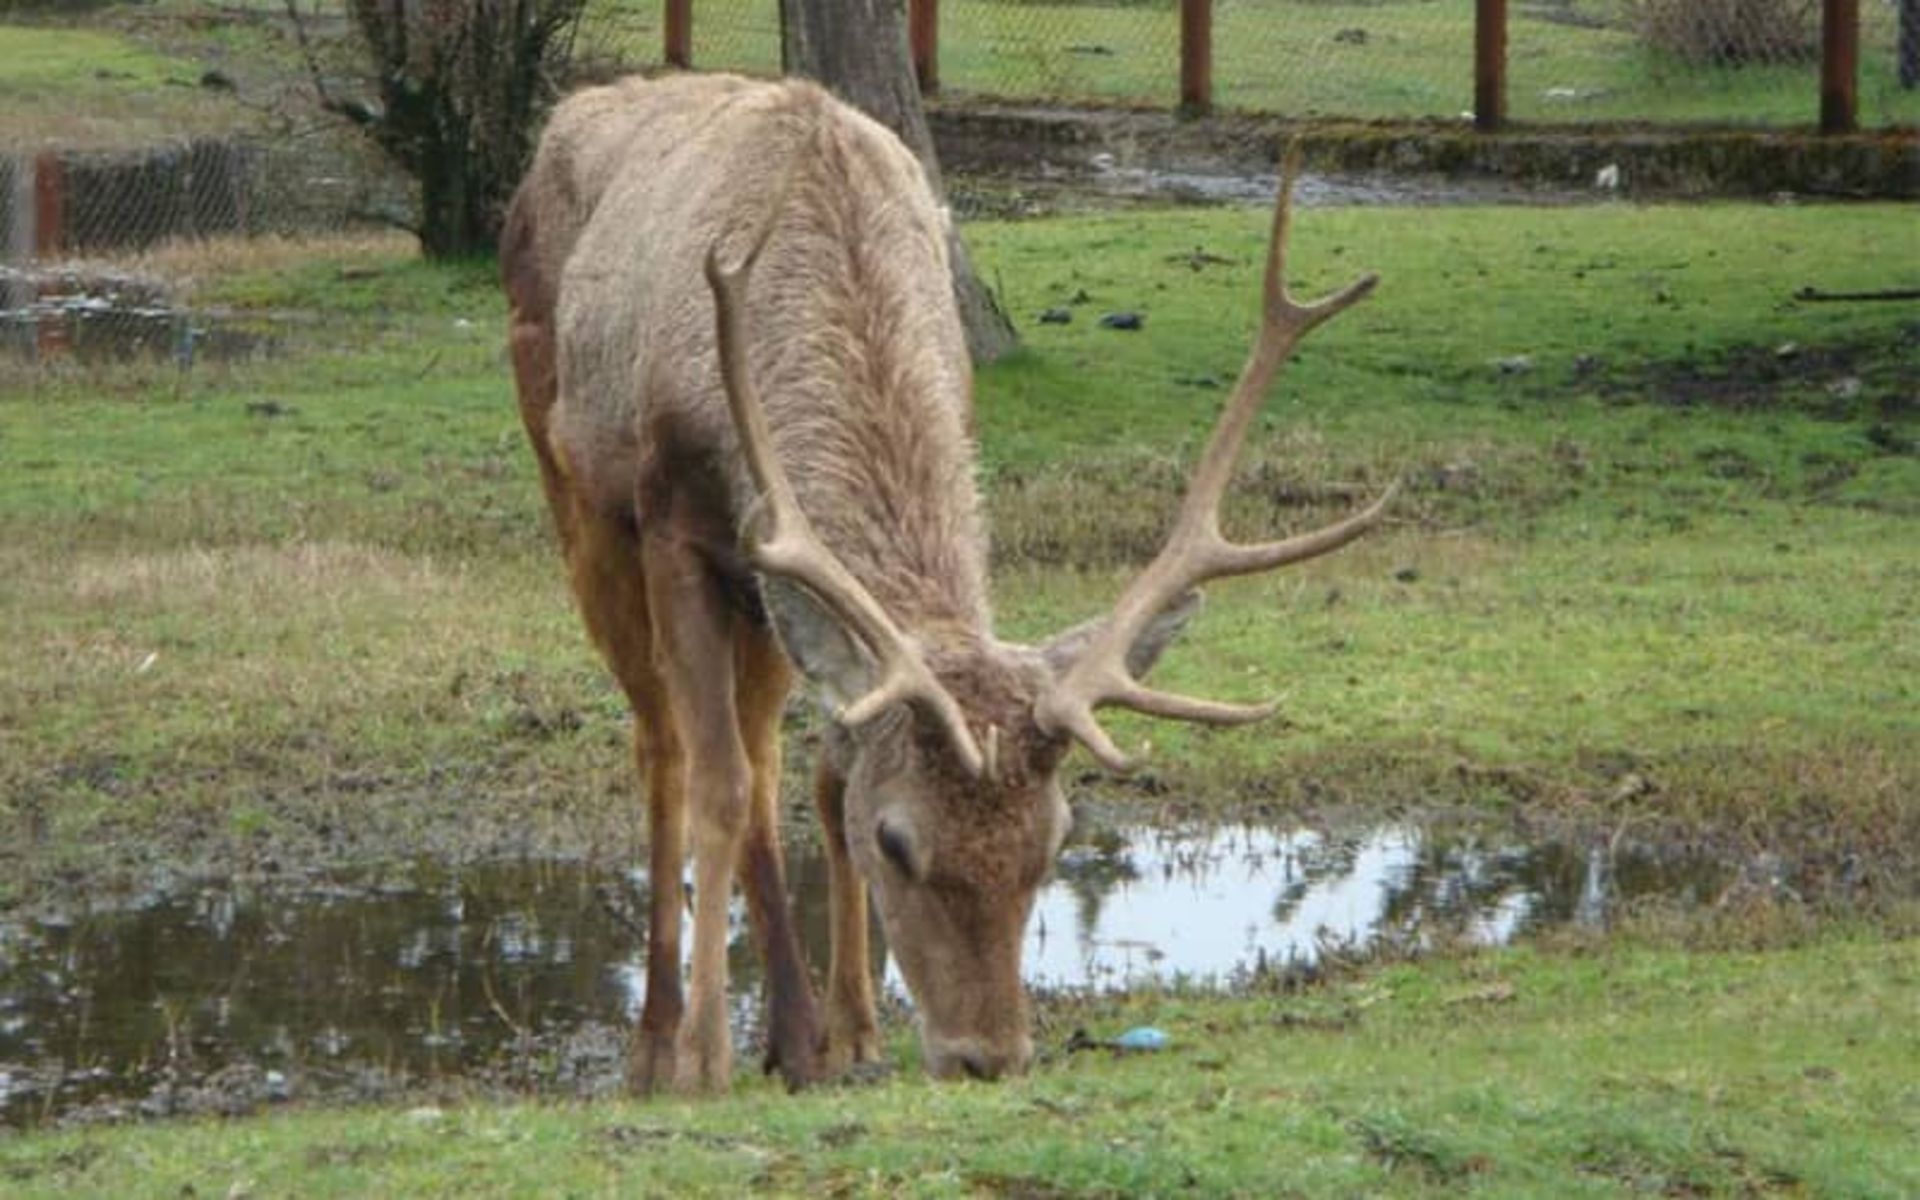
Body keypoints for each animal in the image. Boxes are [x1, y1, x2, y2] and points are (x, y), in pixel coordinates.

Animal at [500, 72, 1392, 1094]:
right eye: (897, 841)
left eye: (1054, 839)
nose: (987, 1054)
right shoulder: (672, 517)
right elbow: (716, 781)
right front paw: (702, 1062)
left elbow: (824, 771)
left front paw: (850, 1036)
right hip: (573, 483)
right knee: (665, 746)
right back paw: (657, 1042)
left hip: (759, 598)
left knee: (767, 752)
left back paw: (795, 1033)